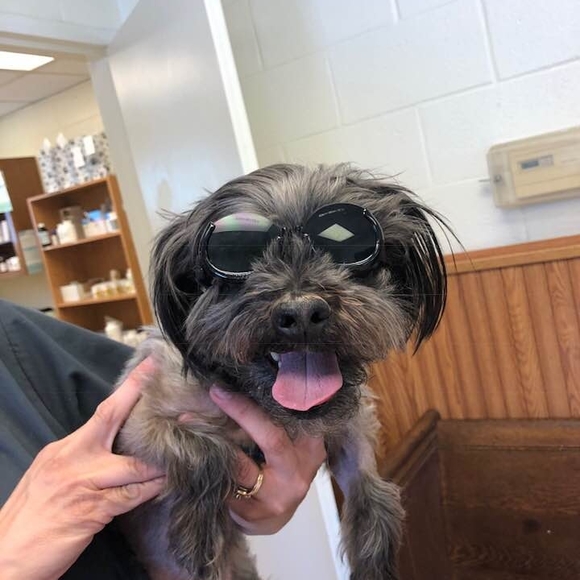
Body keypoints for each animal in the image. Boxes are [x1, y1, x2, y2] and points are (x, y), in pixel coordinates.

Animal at [116, 163, 448, 580]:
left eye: (349, 245)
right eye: (236, 255)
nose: (302, 312)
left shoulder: (350, 428)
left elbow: (373, 493)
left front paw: (374, 563)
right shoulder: (134, 428)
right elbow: (208, 454)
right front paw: (196, 531)